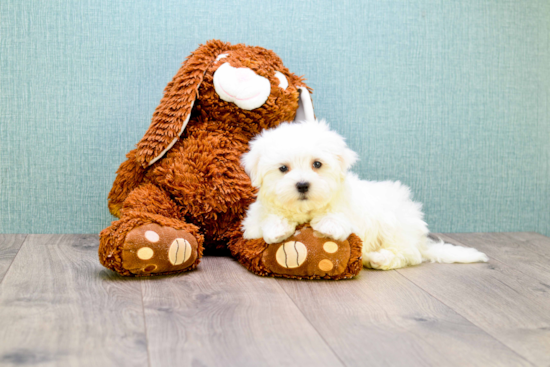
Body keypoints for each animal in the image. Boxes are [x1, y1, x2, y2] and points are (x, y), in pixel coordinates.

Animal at [242, 120, 488, 270]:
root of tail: (420, 240)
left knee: (408, 255)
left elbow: (340, 218)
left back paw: (378, 258)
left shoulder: (353, 215)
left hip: (394, 224)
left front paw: (329, 225)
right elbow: (265, 220)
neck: (307, 210)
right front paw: (277, 228)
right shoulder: (251, 223)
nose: (302, 185)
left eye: (317, 164)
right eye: (283, 168)